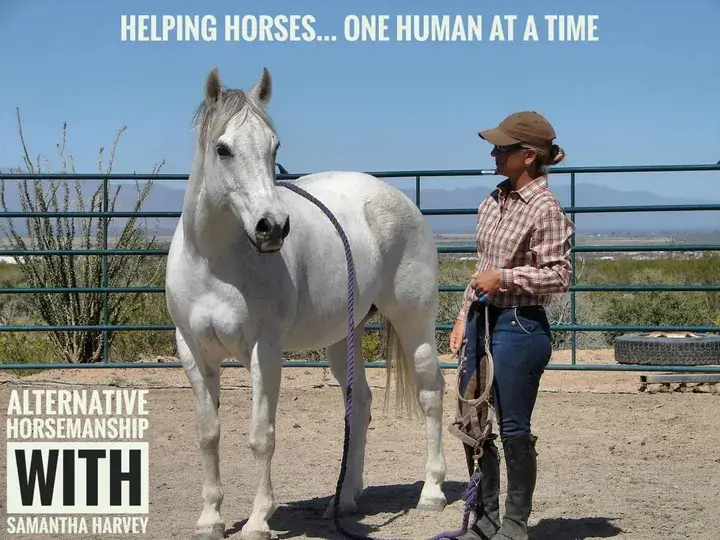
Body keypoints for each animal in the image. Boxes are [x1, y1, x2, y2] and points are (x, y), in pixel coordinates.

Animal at [164, 66, 447, 540]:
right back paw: (344, 499)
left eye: (274, 146)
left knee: (431, 393)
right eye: (222, 149)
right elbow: (208, 434)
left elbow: (262, 435)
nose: (272, 227)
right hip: (341, 338)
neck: (214, 263)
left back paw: (432, 492)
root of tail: (396, 199)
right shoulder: (193, 350)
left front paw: (259, 520)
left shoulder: (264, 348)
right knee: (360, 404)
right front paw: (210, 518)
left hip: (415, 323)